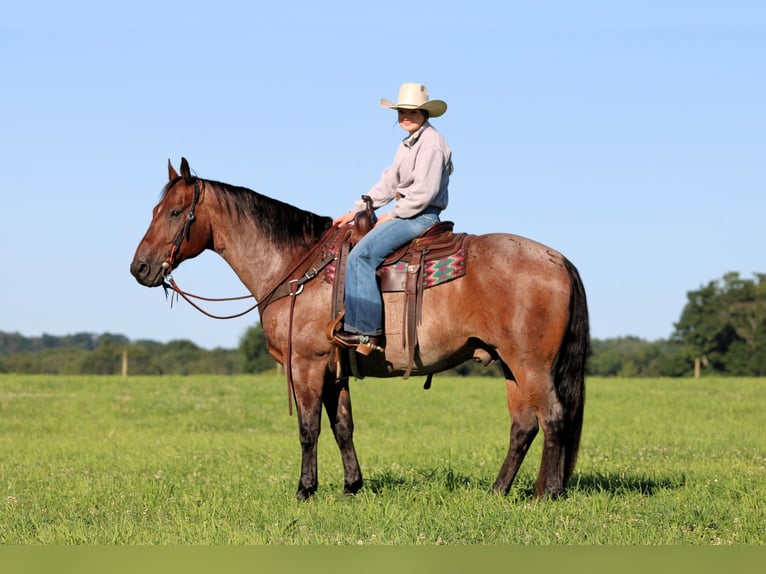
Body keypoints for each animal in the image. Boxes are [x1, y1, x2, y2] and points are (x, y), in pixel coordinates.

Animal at [130, 158, 590, 500]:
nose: (140, 268)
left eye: (175, 212)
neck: (295, 265)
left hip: (530, 365)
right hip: (510, 366)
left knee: (553, 418)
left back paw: (547, 494)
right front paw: (352, 487)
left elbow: (309, 428)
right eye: (154, 211)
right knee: (524, 426)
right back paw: (498, 491)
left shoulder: (307, 364)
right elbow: (342, 426)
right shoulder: (335, 371)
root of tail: (558, 259)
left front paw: (305, 489)